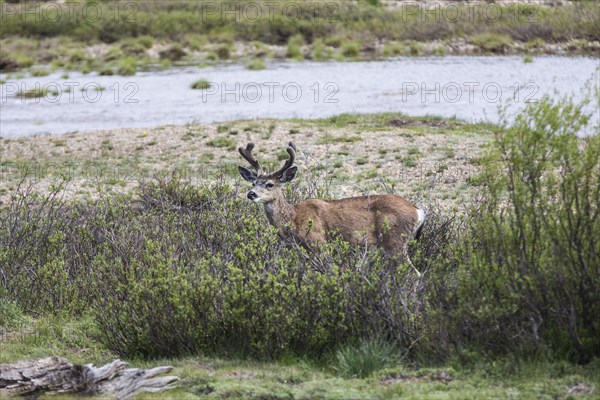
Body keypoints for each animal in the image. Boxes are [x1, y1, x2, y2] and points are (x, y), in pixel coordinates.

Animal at [237, 142, 424, 276]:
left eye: (270, 184)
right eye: (253, 183)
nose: (251, 194)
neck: (293, 219)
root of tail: (418, 211)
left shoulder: (318, 243)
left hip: (396, 241)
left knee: (415, 274)